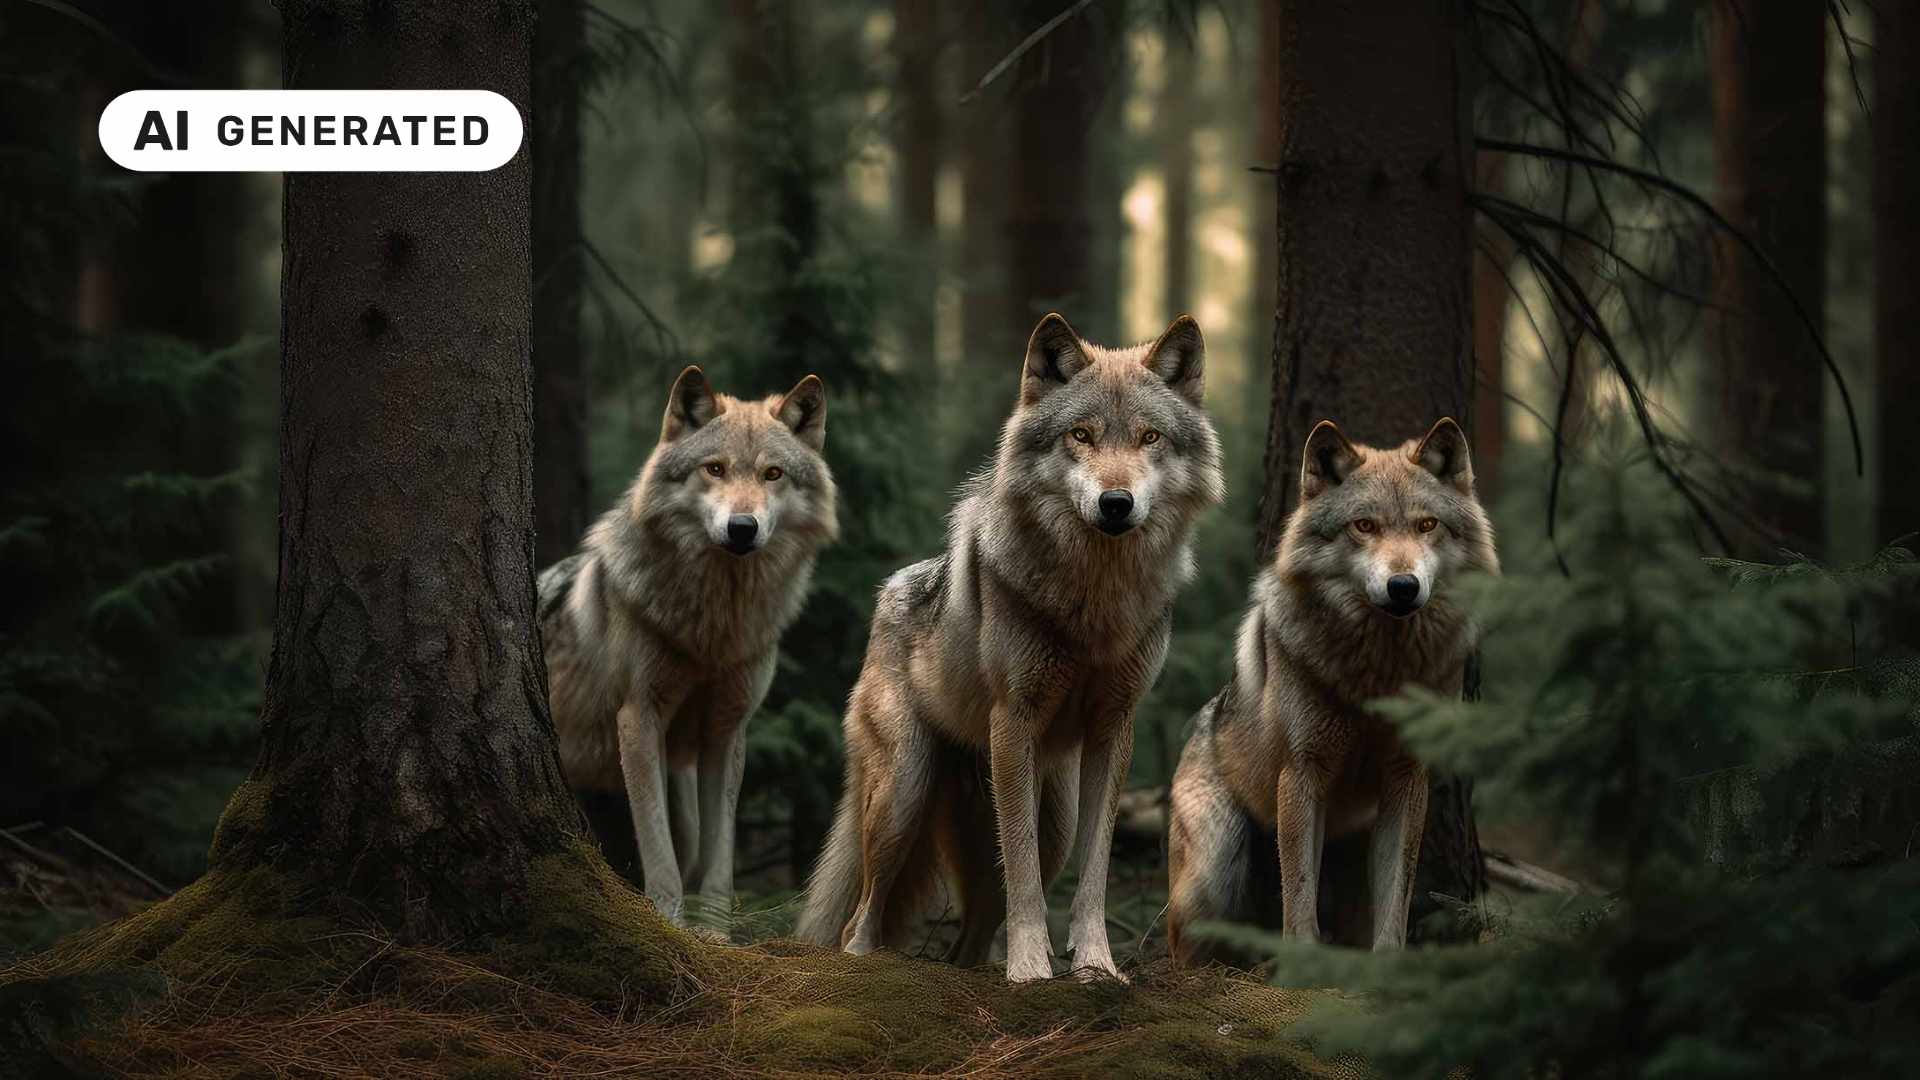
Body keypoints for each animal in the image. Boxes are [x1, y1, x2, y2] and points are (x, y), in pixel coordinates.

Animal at [538, 365, 837, 928]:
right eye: (714, 469)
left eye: (772, 475)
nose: (742, 528)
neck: (712, 630)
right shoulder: (639, 719)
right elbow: (662, 859)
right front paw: (667, 925)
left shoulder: (727, 727)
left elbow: (717, 859)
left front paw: (715, 934)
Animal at [795, 312, 1224, 982]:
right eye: (1081, 435)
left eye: (1149, 437)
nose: (1116, 503)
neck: (1095, 601)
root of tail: (889, 591)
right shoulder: (1014, 720)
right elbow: (1021, 874)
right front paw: (1028, 969)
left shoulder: (1114, 729)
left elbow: (1093, 875)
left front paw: (1096, 966)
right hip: (903, 794)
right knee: (861, 915)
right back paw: (863, 963)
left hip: (1053, 820)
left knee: (973, 932)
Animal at [1165, 417, 1498, 963]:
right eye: (1364, 526)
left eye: (1427, 525)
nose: (1403, 586)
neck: (1377, 675)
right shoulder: (1302, 773)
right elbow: (1299, 890)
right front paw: (1301, 962)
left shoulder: (1407, 778)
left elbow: (1396, 894)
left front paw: (1389, 965)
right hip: (1214, 875)